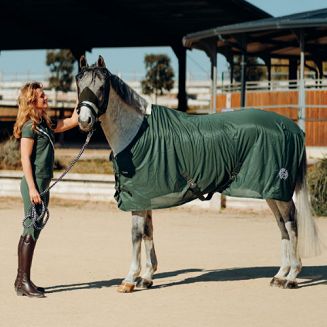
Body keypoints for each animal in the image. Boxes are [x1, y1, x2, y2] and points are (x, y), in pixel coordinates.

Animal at [75, 55, 322, 294]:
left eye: (102, 87)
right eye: (79, 84)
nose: (85, 121)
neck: (136, 133)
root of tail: (293, 128)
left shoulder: (137, 198)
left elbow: (136, 235)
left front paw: (129, 280)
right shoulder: (145, 197)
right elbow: (148, 232)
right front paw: (146, 277)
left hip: (278, 189)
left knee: (291, 223)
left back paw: (291, 277)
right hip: (271, 191)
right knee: (282, 226)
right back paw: (280, 275)